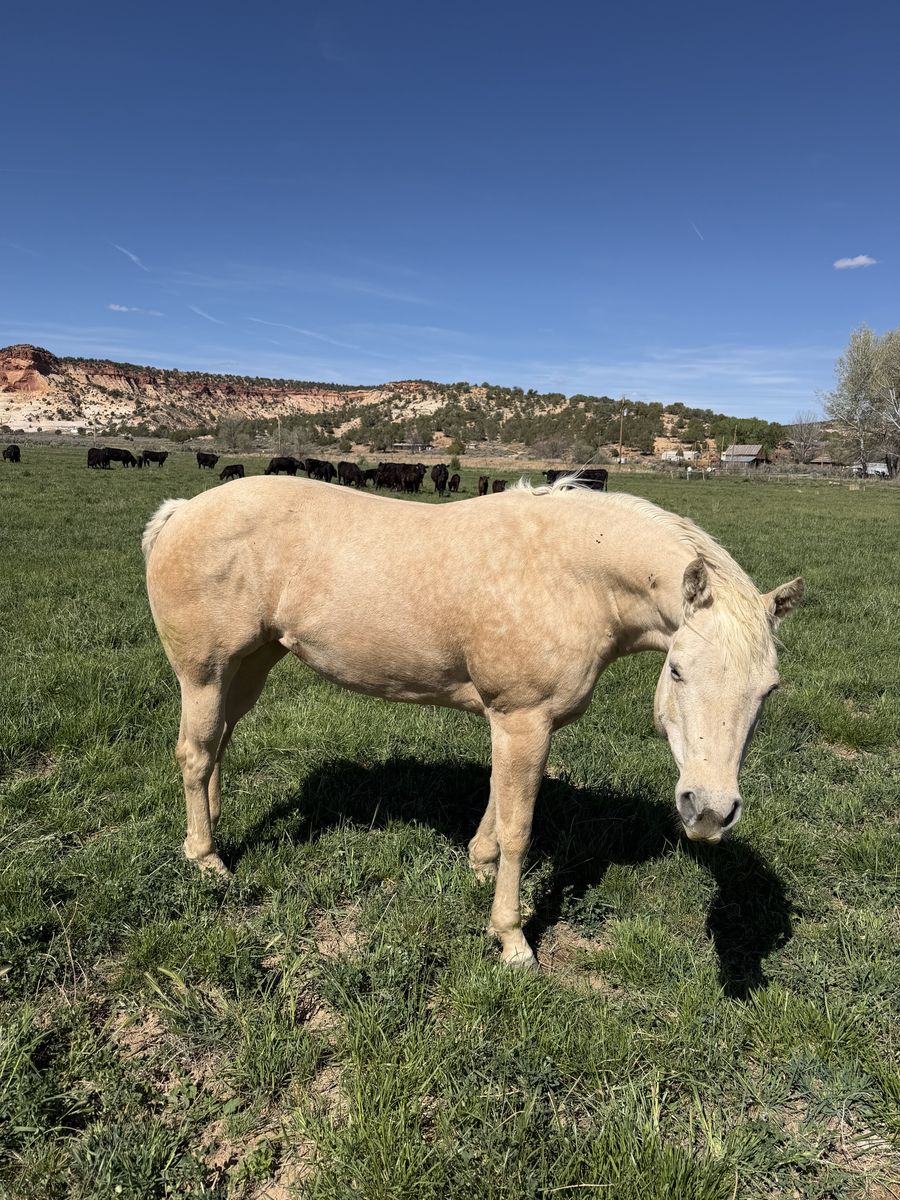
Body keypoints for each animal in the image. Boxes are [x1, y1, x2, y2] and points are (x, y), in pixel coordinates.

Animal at [143, 477, 802, 968]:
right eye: (679, 670)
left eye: (768, 690)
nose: (708, 811)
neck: (573, 575)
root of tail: (180, 512)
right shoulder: (523, 719)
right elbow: (519, 828)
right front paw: (511, 939)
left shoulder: (515, 724)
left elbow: (496, 801)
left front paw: (479, 864)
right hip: (204, 673)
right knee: (195, 753)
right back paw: (205, 856)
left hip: (251, 663)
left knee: (219, 741)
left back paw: (212, 824)